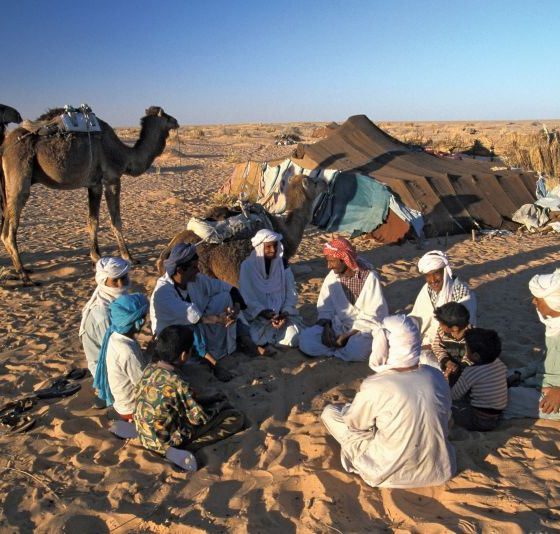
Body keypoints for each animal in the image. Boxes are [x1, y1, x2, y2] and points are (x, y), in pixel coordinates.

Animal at [0, 104, 178, 284]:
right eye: (167, 117)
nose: (176, 121)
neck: (123, 155)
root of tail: (4, 147)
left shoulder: (94, 184)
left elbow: (92, 221)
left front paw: (95, 257)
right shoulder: (111, 180)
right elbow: (116, 221)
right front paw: (129, 257)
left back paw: (23, 270)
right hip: (19, 176)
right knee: (9, 231)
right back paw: (24, 275)